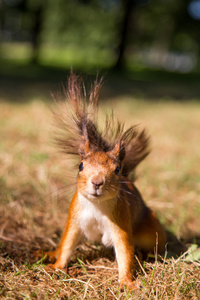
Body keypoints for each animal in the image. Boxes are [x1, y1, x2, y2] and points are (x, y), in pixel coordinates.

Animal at [34, 71, 166, 290]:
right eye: (80, 166)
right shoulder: (74, 219)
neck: (96, 206)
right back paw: (49, 253)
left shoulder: (121, 223)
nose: (97, 182)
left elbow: (125, 251)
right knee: (62, 243)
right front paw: (56, 266)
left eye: (117, 169)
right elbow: (67, 244)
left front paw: (127, 282)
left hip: (151, 231)